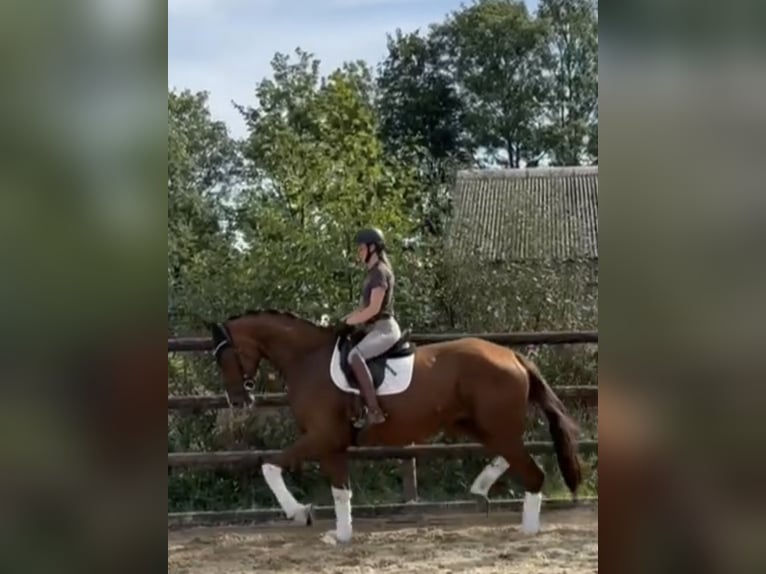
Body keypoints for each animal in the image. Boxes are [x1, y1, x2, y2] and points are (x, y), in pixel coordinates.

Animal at [208, 309, 584, 543]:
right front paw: (340, 536)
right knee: (511, 456)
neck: (307, 359)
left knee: (532, 471)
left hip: (494, 425)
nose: (237, 401)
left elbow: (270, 466)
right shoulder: (332, 444)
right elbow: (341, 490)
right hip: (476, 424)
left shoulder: (321, 437)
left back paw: (527, 530)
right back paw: (482, 488)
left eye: (225, 356)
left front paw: (300, 513)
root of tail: (513, 356)